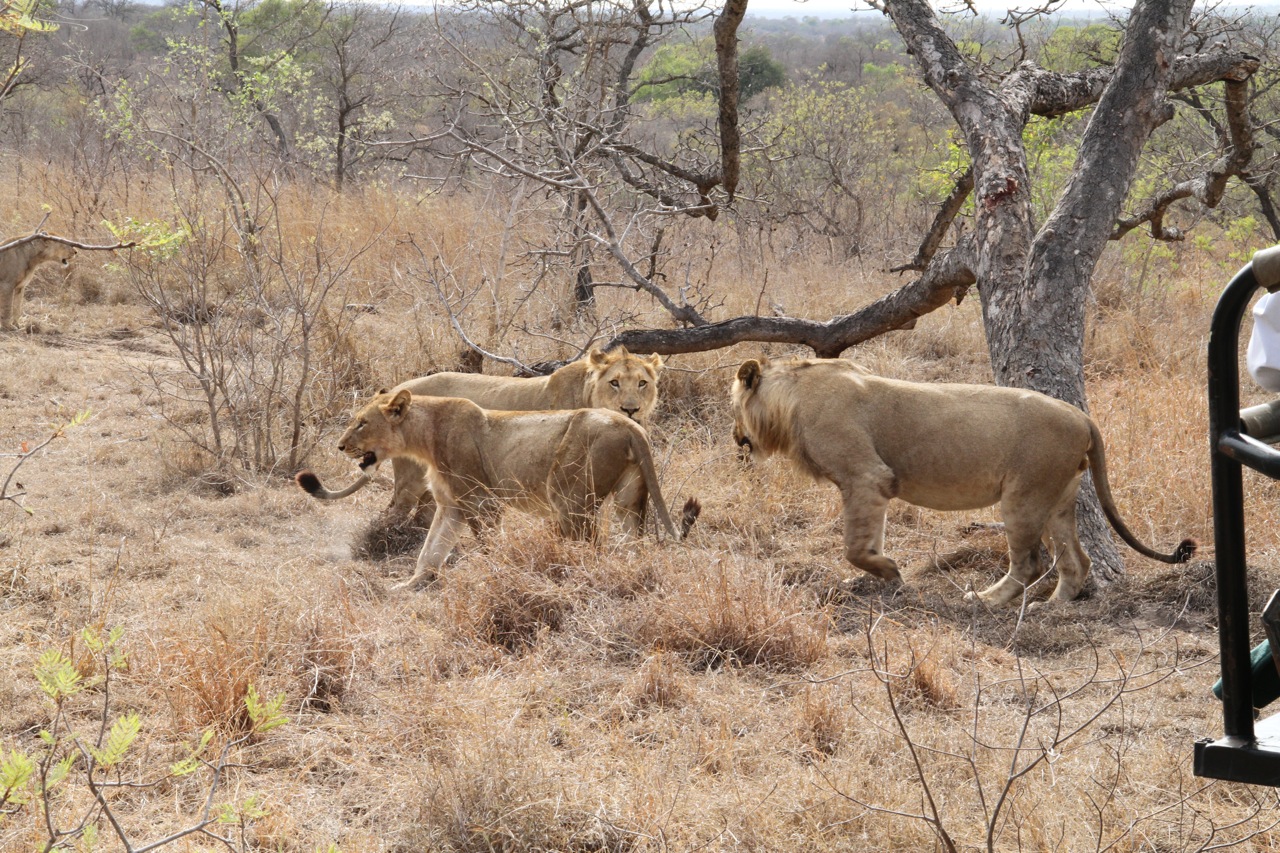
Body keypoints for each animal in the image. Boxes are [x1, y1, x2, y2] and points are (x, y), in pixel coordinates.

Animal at [296, 389, 701, 589]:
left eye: (361, 423)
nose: (340, 446)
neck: (423, 438)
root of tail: (632, 426)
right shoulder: (451, 506)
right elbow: (429, 551)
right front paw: (407, 587)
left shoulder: (482, 502)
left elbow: (490, 546)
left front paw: (495, 575)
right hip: (629, 500)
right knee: (634, 545)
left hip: (569, 498)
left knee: (589, 547)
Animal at [737, 356, 1192, 601]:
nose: (735, 440)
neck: (793, 395)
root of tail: (1082, 416)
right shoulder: (874, 486)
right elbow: (870, 538)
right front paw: (879, 578)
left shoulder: (866, 476)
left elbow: (855, 546)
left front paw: (890, 572)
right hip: (1059, 499)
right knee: (1077, 561)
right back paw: (1052, 606)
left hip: (1023, 495)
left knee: (1029, 562)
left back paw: (987, 600)